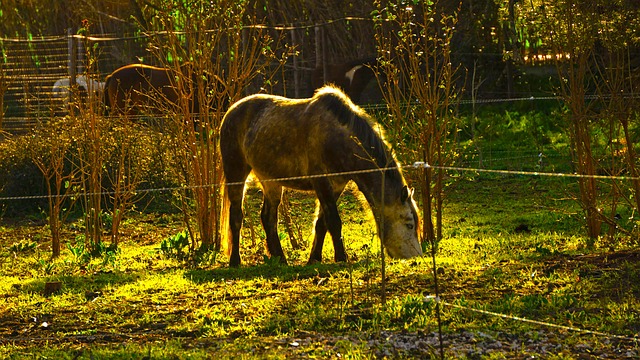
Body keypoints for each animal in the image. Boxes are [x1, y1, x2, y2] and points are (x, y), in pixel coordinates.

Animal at [218, 85, 422, 268]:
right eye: (409, 224)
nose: (417, 258)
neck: (339, 138)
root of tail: (231, 112)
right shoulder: (321, 181)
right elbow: (334, 221)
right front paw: (341, 258)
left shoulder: (337, 185)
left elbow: (322, 223)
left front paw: (314, 259)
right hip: (236, 173)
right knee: (236, 216)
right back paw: (235, 261)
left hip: (271, 182)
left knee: (268, 218)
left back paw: (281, 259)